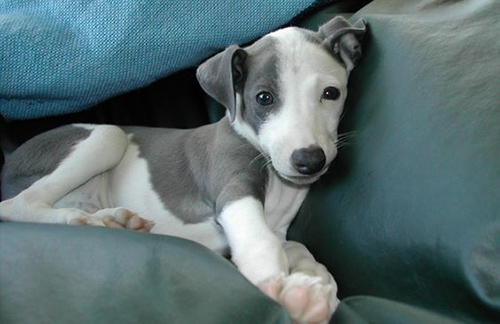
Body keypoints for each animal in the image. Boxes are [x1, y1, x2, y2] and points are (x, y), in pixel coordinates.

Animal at [0, 17, 368, 324]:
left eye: (331, 93)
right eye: (264, 98)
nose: (309, 159)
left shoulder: (280, 229)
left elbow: (297, 248)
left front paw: (318, 281)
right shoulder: (233, 191)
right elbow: (260, 241)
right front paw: (283, 293)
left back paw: (114, 221)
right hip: (107, 135)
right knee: (16, 204)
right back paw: (77, 219)